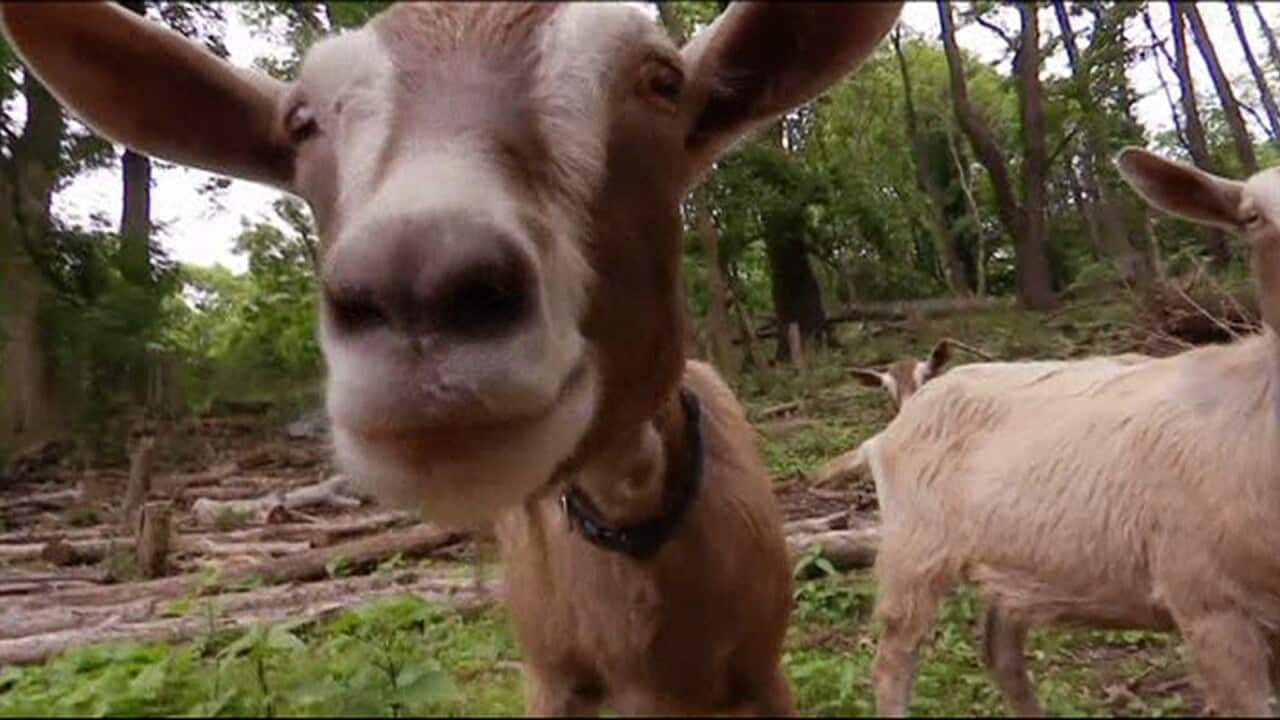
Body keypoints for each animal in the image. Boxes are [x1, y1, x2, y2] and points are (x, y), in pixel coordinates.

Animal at [867, 147, 1280, 717]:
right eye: (1252, 217)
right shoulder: (1208, 603)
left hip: (1010, 563)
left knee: (1000, 653)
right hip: (911, 548)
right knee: (893, 661)